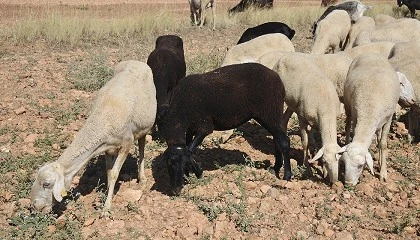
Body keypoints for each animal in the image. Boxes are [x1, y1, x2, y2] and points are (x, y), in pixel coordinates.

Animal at [30, 60, 157, 216]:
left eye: (46, 184)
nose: (36, 207)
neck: (100, 120)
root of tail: (136, 61)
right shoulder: (107, 147)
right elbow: (108, 172)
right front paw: (108, 193)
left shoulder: (127, 142)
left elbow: (114, 174)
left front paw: (107, 208)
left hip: (144, 128)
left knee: (142, 150)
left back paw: (143, 178)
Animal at [161, 62, 292, 195]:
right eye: (168, 164)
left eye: (183, 164)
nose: (176, 190)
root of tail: (276, 76)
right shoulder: (191, 128)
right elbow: (189, 149)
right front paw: (192, 173)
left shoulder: (204, 126)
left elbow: (190, 150)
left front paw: (197, 172)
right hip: (270, 115)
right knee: (277, 139)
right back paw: (275, 168)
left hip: (269, 112)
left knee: (283, 141)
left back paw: (287, 175)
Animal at [270, 54, 342, 182]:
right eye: (325, 161)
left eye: (338, 159)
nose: (334, 181)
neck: (326, 108)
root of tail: (285, 56)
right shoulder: (302, 118)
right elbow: (305, 142)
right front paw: (307, 166)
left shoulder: (316, 122)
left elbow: (316, 142)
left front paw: (323, 170)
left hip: (293, 103)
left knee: (284, 120)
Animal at [338, 54, 400, 186]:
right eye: (344, 163)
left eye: (360, 166)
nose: (348, 184)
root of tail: (371, 54)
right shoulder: (356, 115)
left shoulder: (389, 118)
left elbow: (383, 144)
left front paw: (383, 173)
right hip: (347, 104)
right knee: (347, 126)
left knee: (379, 135)